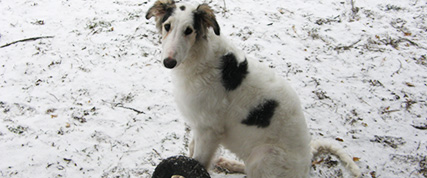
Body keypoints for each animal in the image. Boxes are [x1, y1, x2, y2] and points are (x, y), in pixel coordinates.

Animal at [146, 0, 362, 177]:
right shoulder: (199, 124)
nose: (169, 62)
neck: (201, 58)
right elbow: (191, 150)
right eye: (167, 26)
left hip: (264, 155)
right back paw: (228, 163)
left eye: (189, 30)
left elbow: (197, 162)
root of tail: (307, 162)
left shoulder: (209, 130)